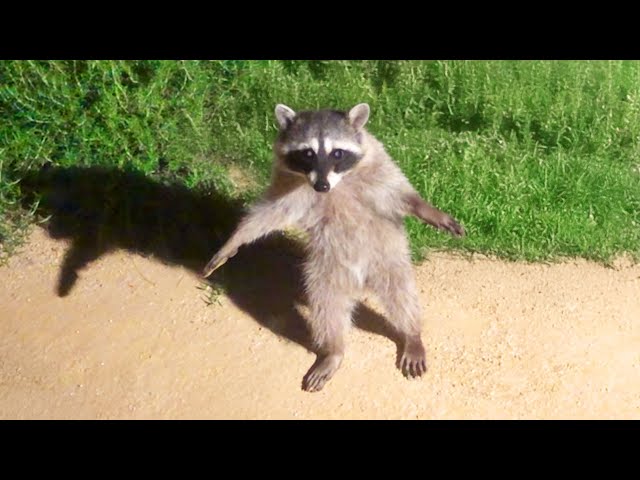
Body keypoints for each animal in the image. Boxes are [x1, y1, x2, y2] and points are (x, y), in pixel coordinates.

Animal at [203, 103, 464, 392]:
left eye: (337, 153)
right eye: (307, 153)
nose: (321, 186)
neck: (337, 181)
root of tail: (360, 281)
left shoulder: (378, 162)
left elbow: (399, 192)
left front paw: (427, 209)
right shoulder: (289, 184)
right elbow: (270, 213)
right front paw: (235, 239)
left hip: (386, 256)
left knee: (401, 293)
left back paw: (411, 332)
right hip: (326, 270)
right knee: (327, 307)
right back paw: (334, 350)